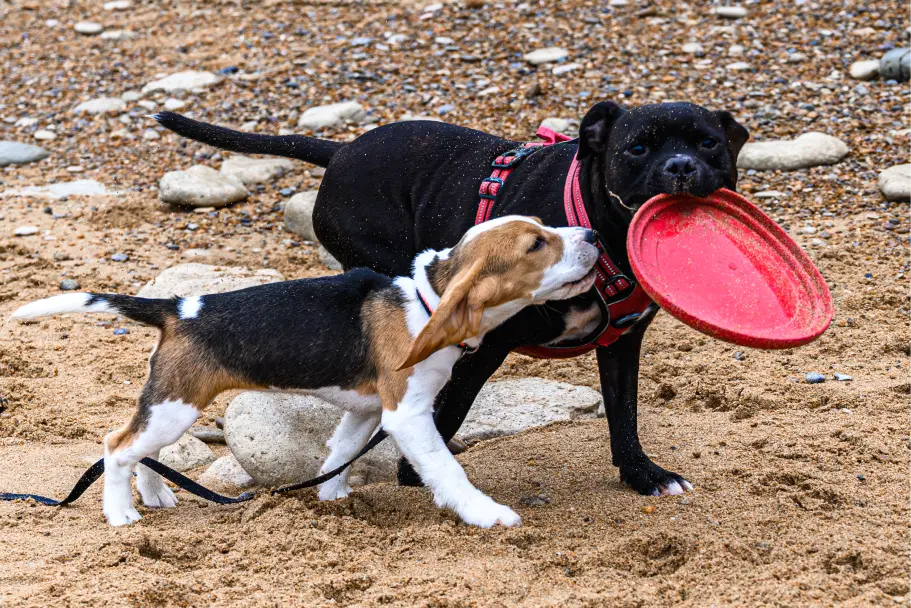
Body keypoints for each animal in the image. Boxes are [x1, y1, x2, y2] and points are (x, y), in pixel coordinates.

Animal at [10, 216, 604, 524]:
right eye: (537, 243)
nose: (595, 235)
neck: (427, 301)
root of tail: (180, 307)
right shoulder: (408, 415)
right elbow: (447, 470)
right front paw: (486, 513)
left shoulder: (367, 411)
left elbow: (339, 453)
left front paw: (332, 498)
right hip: (177, 404)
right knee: (117, 446)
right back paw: (121, 514)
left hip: (171, 403)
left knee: (136, 445)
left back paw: (154, 494)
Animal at [157, 102, 752, 496]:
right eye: (637, 147)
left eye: (708, 143)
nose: (681, 166)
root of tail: (342, 150)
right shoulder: (482, 348)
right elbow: (449, 413)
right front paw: (415, 474)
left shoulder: (622, 345)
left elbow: (624, 414)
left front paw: (643, 475)